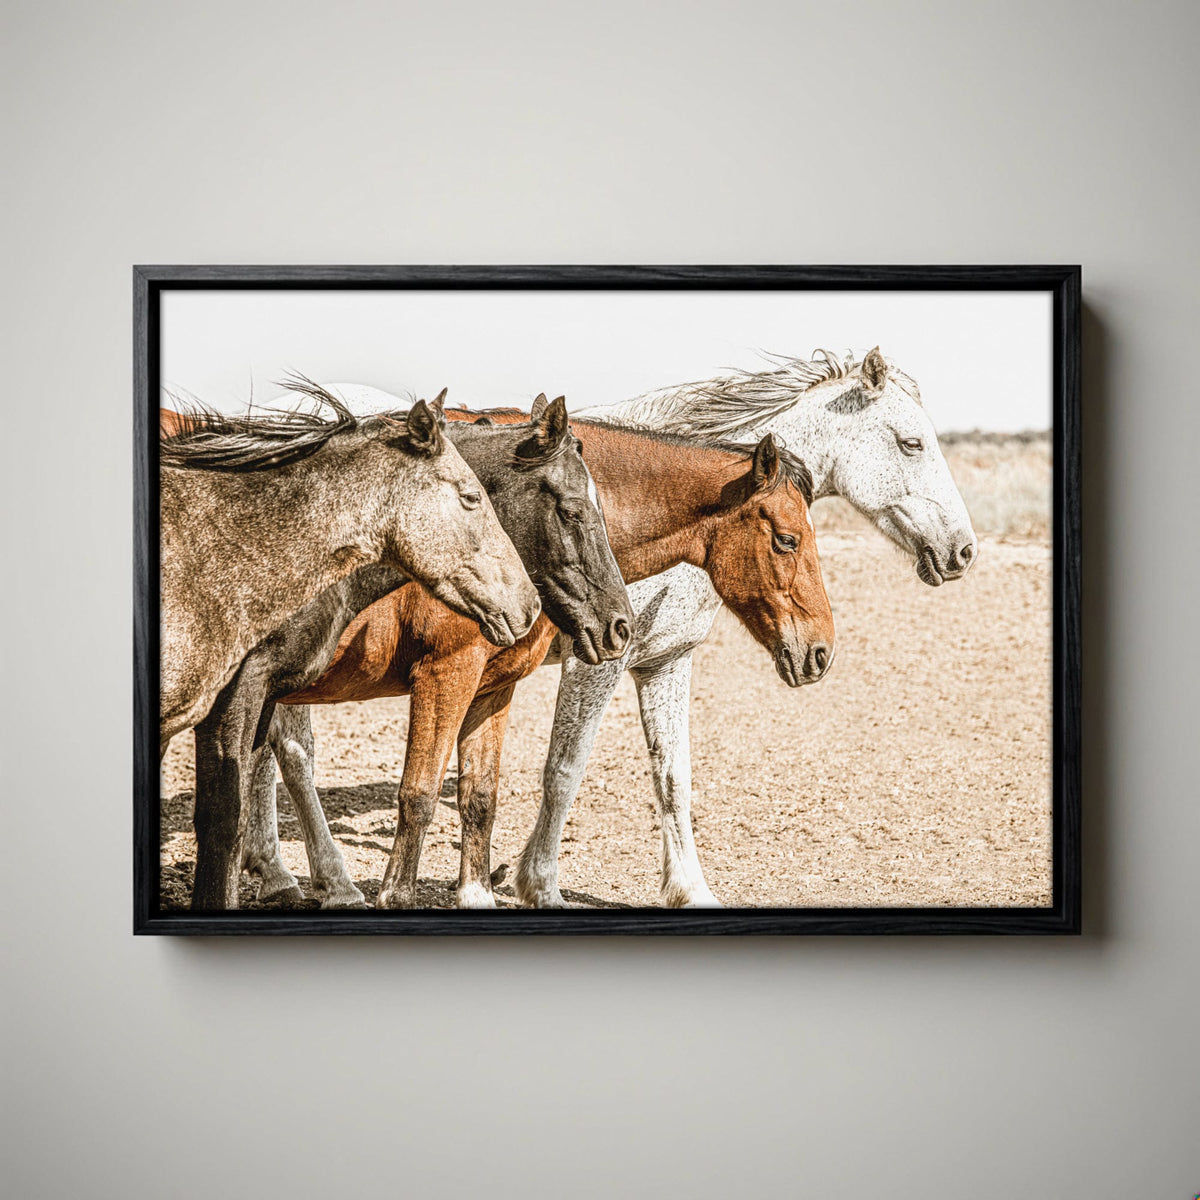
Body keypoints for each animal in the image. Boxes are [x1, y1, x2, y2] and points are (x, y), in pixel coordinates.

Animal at [242, 413, 835, 908]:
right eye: (787, 540)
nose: (820, 652)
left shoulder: (500, 685)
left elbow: (485, 795)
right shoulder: (452, 675)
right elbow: (434, 791)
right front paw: (533, 886)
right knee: (288, 761)